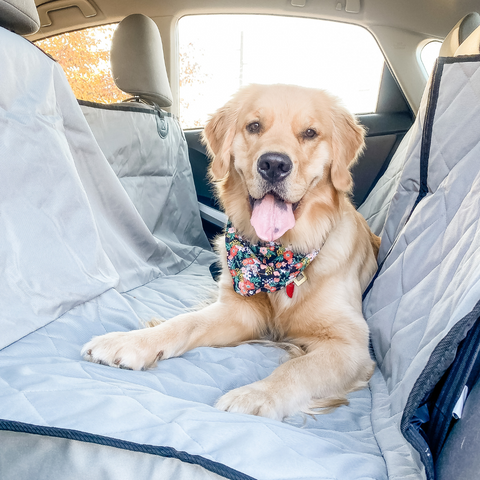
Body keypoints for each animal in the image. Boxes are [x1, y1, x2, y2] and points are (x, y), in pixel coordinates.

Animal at [84, 85, 380, 420]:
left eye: (310, 133)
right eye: (254, 126)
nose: (274, 164)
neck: (276, 259)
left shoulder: (351, 344)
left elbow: (299, 367)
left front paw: (255, 395)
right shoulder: (240, 313)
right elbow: (184, 322)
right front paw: (131, 341)